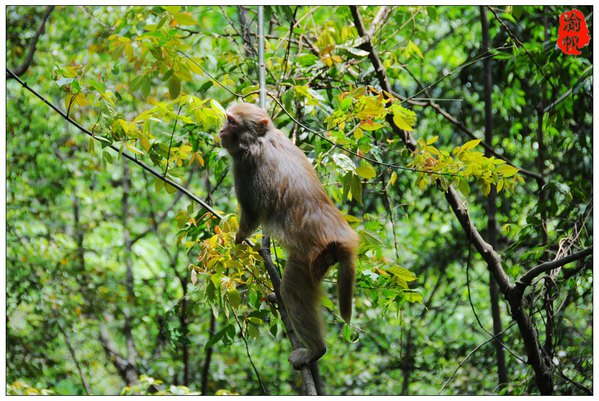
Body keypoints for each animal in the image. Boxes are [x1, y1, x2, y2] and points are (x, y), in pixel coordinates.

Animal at [220, 102, 360, 368]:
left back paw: (315, 350)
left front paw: (239, 238)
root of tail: (343, 238)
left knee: (294, 290)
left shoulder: (245, 164)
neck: (263, 139)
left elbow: (252, 213)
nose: (221, 130)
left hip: (310, 259)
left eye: (232, 122)